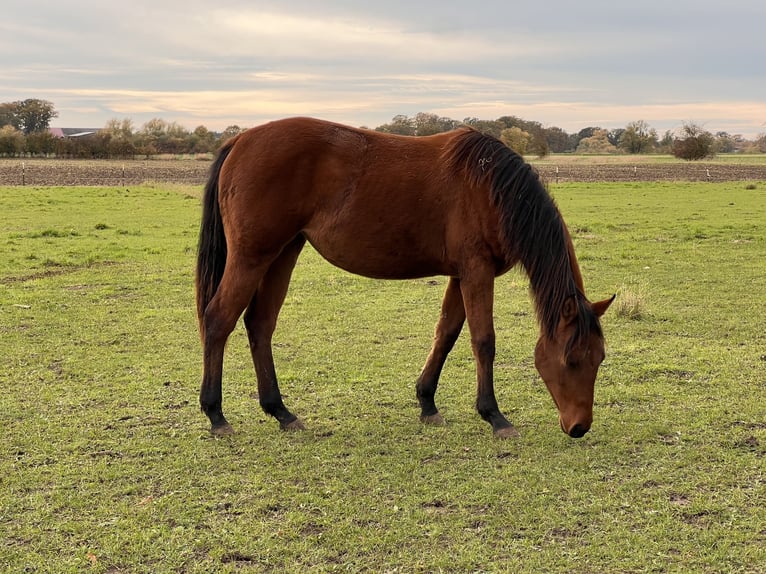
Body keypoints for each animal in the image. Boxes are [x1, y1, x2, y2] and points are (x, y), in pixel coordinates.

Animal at [196, 117, 613, 439]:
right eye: (572, 360)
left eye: (600, 358)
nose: (580, 427)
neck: (490, 187)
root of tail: (240, 140)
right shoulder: (476, 270)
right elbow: (483, 341)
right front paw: (494, 416)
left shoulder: (460, 274)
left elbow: (446, 334)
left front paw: (427, 403)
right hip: (252, 257)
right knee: (219, 319)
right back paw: (216, 415)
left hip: (283, 253)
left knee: (260, 323)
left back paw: (280, 411)